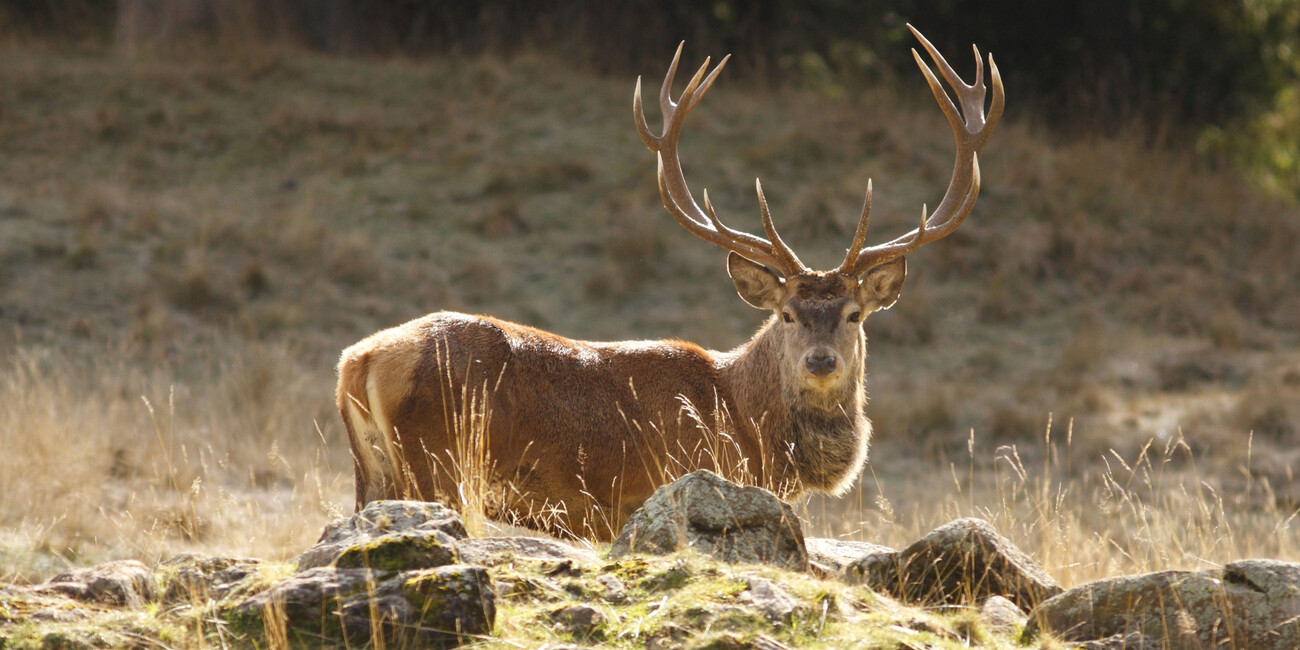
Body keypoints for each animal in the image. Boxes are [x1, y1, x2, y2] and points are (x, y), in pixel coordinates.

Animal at [336, 25, 1003, 541]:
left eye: (854, 314)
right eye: (786, 313)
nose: (820, 361)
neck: (749, 427)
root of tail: (359, 359)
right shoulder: (674, 487)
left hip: (374, 471)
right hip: (438, 462)